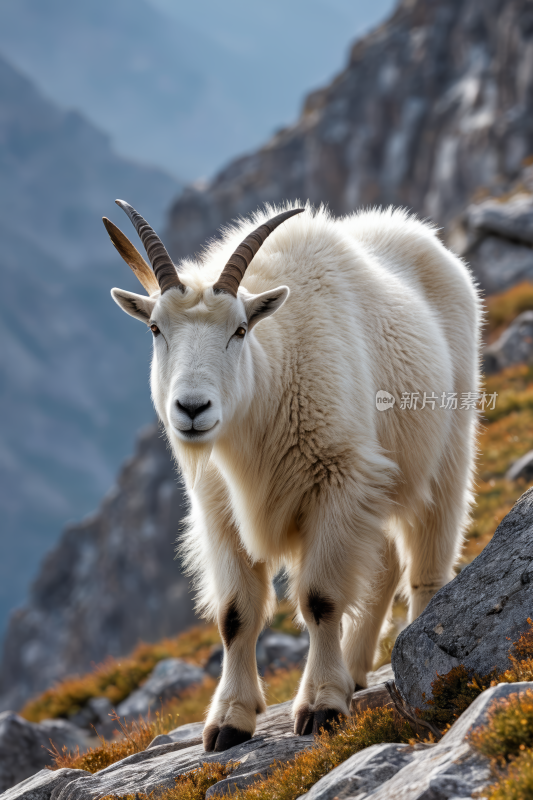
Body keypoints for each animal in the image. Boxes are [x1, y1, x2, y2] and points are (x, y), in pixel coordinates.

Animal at [106, 200, 480, 752]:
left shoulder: (338, 482)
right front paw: (229, 720)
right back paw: (355, 669)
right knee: (383, 568)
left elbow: (320, 599)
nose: (192, 409)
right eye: (155, 328)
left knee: (426, 561)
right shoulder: (220, 510)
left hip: (446, 448)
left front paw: (321, 706)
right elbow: (235, 615)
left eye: (240, 329)